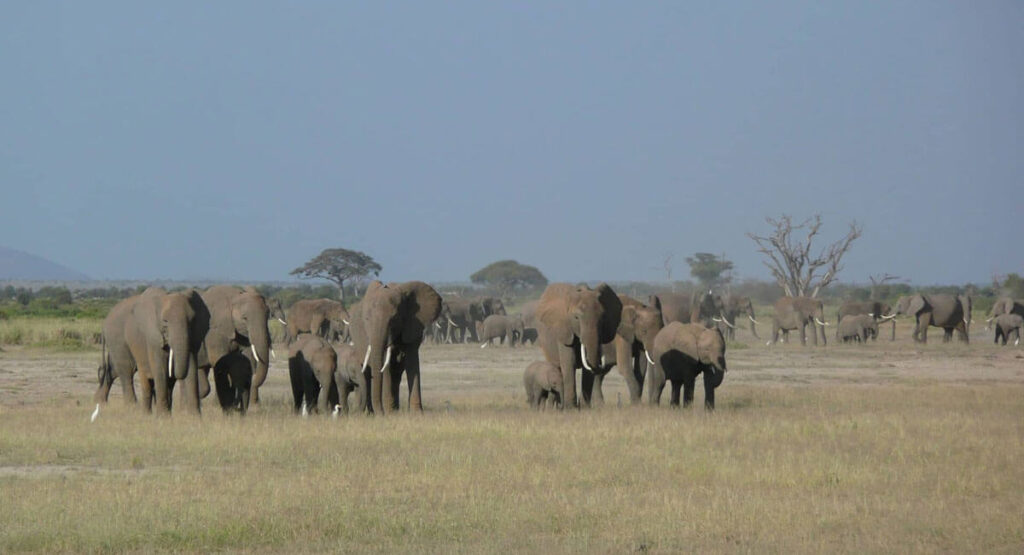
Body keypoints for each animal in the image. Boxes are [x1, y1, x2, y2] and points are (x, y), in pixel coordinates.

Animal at [349, 281, 442, 414]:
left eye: (394, 319)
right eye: (366, 319)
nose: (381, 413)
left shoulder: (413, 326)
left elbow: (412, 362)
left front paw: (417, 414)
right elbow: (385, 365)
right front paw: (390, 414)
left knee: (396, 375)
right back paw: (374, 412)